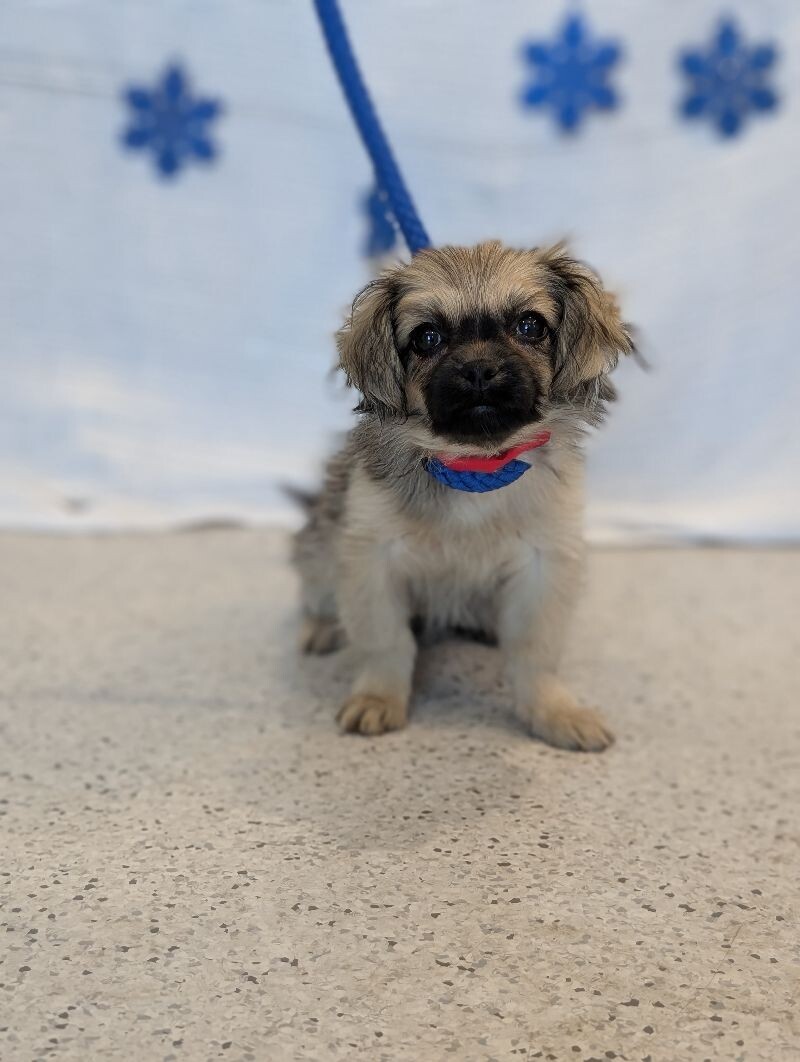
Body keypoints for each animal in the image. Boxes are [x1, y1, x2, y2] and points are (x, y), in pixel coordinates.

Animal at [291, 243, 633, 751]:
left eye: (530, 326)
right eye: (426, 338)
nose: (478, 370)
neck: (476, 468)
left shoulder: (544, 566)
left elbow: (536, 652)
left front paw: (554, 711)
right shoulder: (372, 559)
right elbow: (385, 642)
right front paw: (378, 698)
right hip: (319, 548)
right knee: (318, 594)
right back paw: (322, 627)